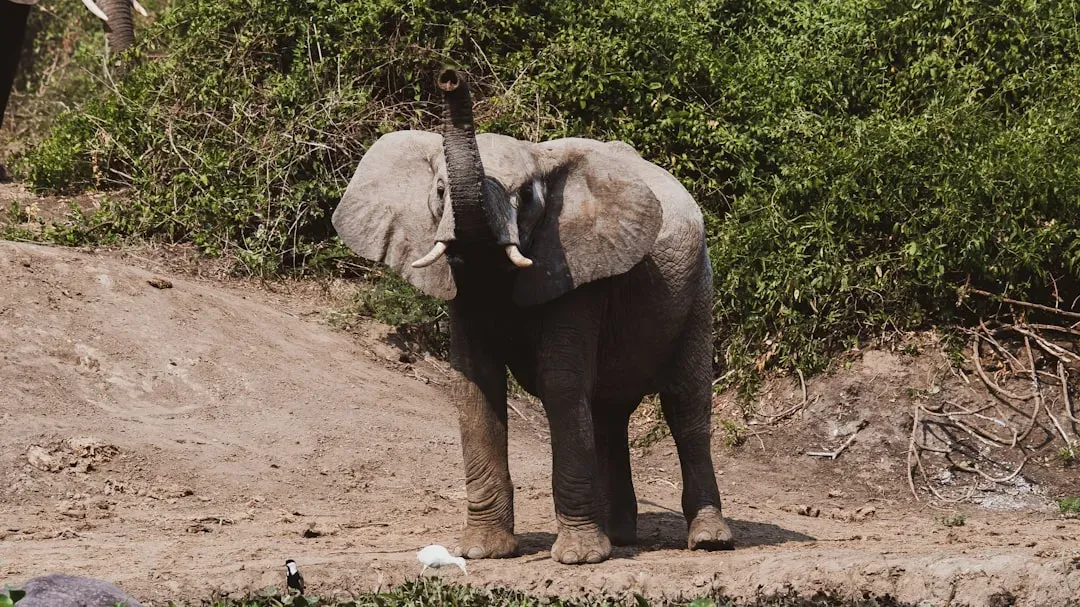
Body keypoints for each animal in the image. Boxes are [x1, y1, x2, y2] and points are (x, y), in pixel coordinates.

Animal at [331, 69, 734, 564]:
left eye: (524, 197)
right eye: (441, 191)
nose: (449, 78)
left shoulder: (576, 267)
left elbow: (559, 383)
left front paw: (579, 558)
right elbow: (475, 383)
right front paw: (483, 552)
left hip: (698, 287)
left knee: (685, 405)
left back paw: (708, 540)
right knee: (608, 412)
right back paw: (619, 538)